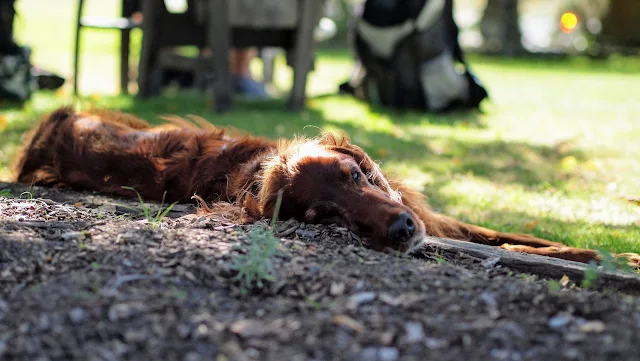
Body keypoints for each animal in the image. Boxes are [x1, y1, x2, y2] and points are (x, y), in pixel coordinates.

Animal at [15, 107, 640, 264]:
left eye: (356, 175)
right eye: (326, 217)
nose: (402, 228)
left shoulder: (440, 217)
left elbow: (518, 237)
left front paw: (607, 254)